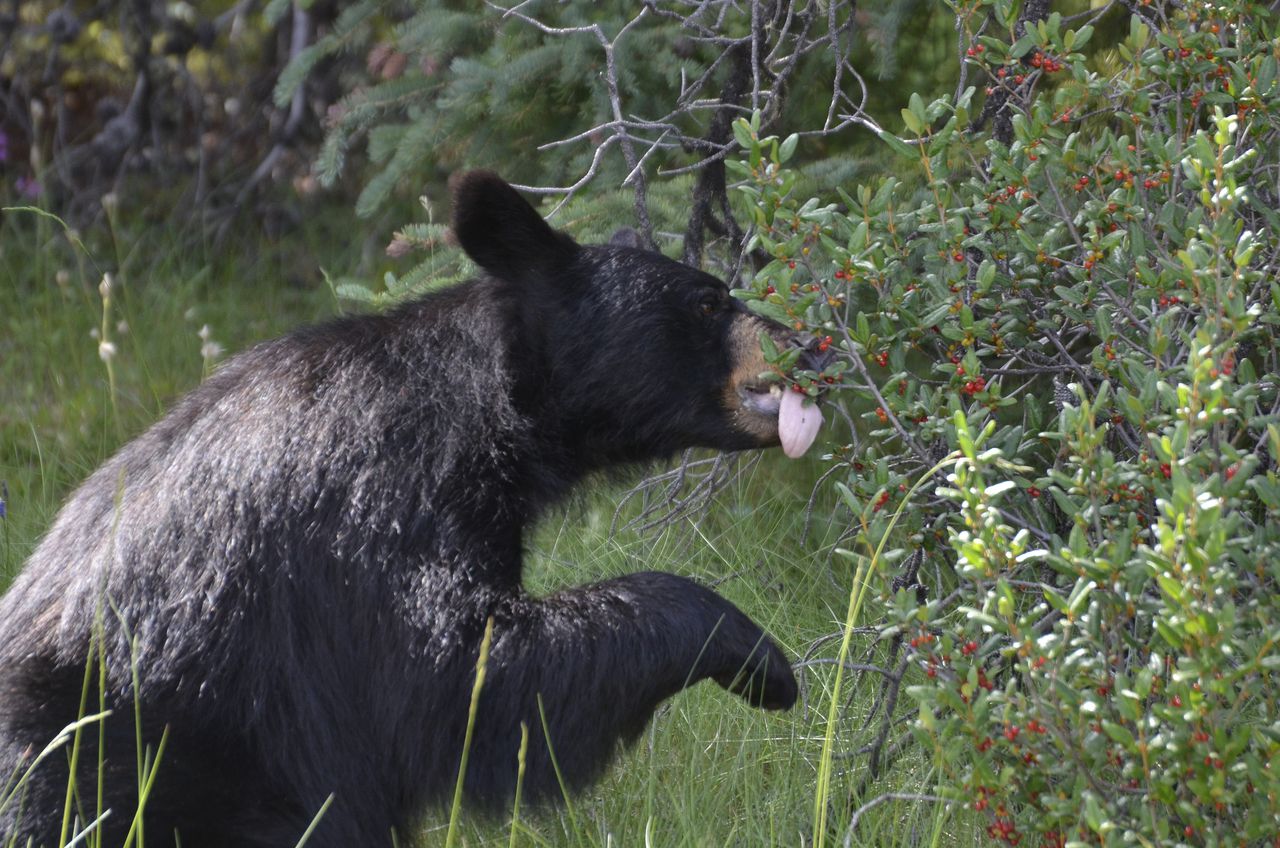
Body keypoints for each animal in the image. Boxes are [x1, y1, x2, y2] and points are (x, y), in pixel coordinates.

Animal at [0, 172, 824, 848]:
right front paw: (757, 655)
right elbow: (457, 672)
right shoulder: (386, 499)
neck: (488, 408)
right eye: (709, 299)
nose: (814, 346)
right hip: (123, 757)